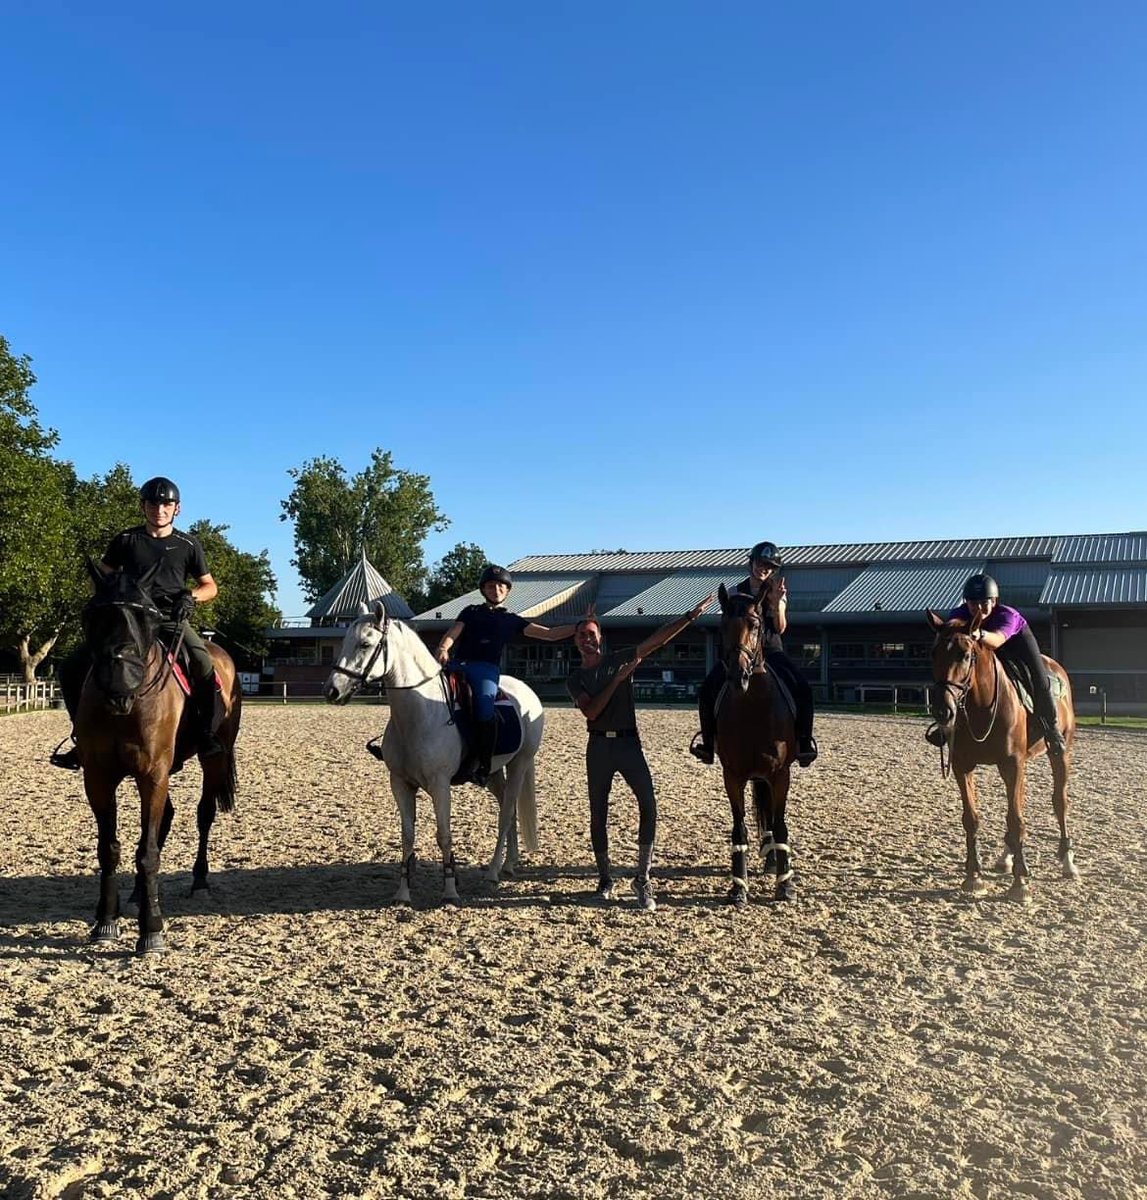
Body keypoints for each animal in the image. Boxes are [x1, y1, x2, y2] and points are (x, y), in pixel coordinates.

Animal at [76, 561, 241, 953]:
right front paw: (106, 920)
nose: (119, 689)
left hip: (212, 759)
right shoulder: (98, 777)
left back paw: (199, 880)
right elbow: (109, 849)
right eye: (93, 615)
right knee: (165, 819)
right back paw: (138, 893)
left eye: (147, 617)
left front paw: (151, 930)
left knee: (203, 814)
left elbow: (148, 852)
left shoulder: (152, 774)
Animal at [324, 602, 544, 905]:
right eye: (345, 641)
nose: (332, 690)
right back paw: (508, 864)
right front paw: (403, 893)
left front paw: (450, 891)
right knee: (507, 812)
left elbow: (444, 836)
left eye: (365, 644)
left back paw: (493, 872)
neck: (422, 712)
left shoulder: (440, 786)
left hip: (520, 765)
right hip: (494, 773)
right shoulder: (400, 784)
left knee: (506, 813)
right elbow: (407, 836)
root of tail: (528, 694)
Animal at [714, 583, 800, 906]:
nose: (738, 676)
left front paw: (785, 886)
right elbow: (739, 829)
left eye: (755, 624)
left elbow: (780, 824)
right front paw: (739, 887)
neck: (752, 706)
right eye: (722, 626)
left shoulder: (780, 774)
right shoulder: (732, 775)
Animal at [925, 610, 1078, 901]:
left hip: (1060, 753)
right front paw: (973, 878)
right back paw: (1007, 857)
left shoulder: (1011, 764)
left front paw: (1020, 884)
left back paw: (1067, 861)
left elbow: (1016, 820)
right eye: (933, 652)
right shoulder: (963, 766)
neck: (980, 705)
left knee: (1059, 802)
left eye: (965, 654)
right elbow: (971, 819)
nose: (943, 710)